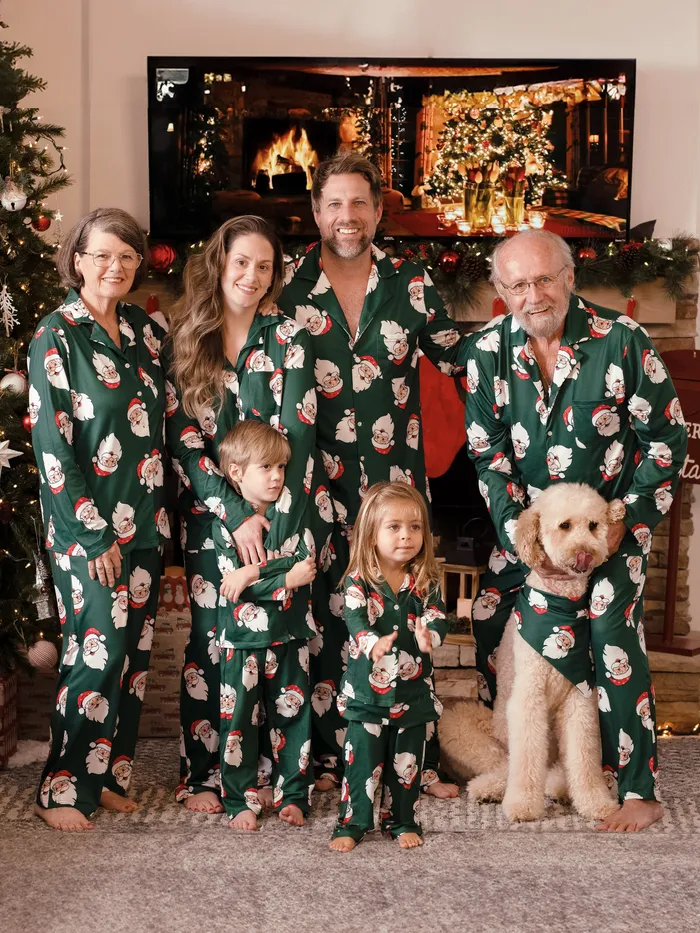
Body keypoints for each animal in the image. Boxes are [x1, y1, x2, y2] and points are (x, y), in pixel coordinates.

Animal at [440, 484, 628, 820]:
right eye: (565, 525)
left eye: (593, 525)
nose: (585, 552)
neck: (559, 606)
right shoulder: (529, 697)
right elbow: (526, 758)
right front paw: (523, 804)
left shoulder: (580, 698)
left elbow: (584, 757)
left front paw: (595, 801)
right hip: (464, 725)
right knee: (503, 765)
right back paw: (490, 788)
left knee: (553, 770)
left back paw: (557, 786)